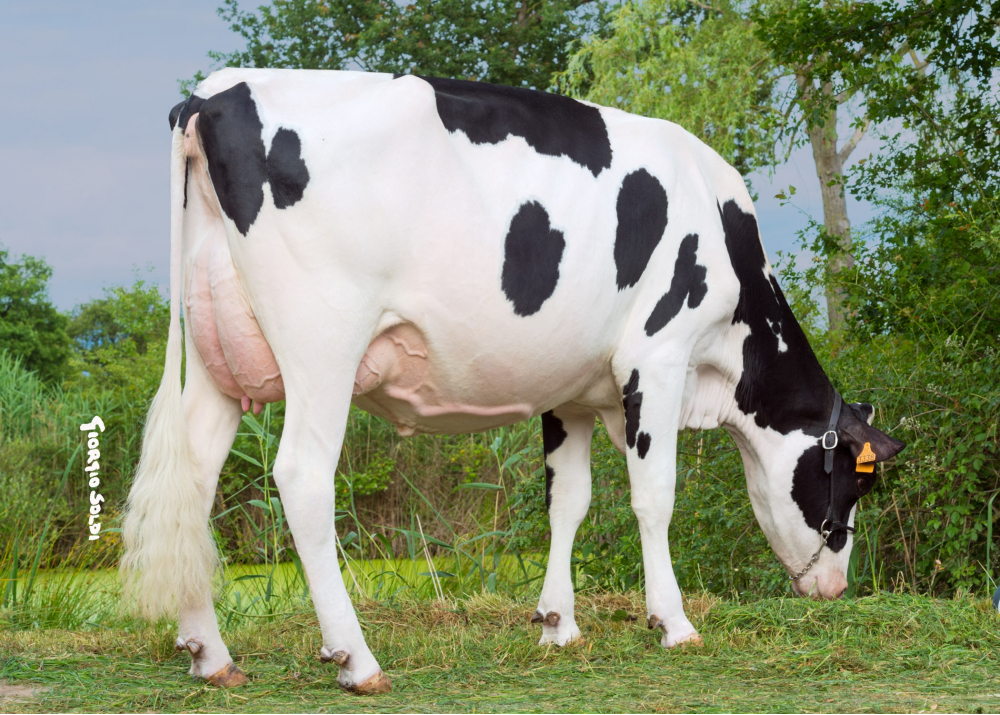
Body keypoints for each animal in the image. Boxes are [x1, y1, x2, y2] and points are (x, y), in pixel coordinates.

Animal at [119, 67, 908, 692]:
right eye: (855, 481)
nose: (837, 586)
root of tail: (214, 94)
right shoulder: (657, 357)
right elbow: (654, 497)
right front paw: (674, 621)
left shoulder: (574, 391)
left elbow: (569, 501)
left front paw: (559, 623)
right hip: (322, 343)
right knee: (303, 476)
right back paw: (357, 659)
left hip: (219, 355)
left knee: (193, 481)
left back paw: (211, 654)